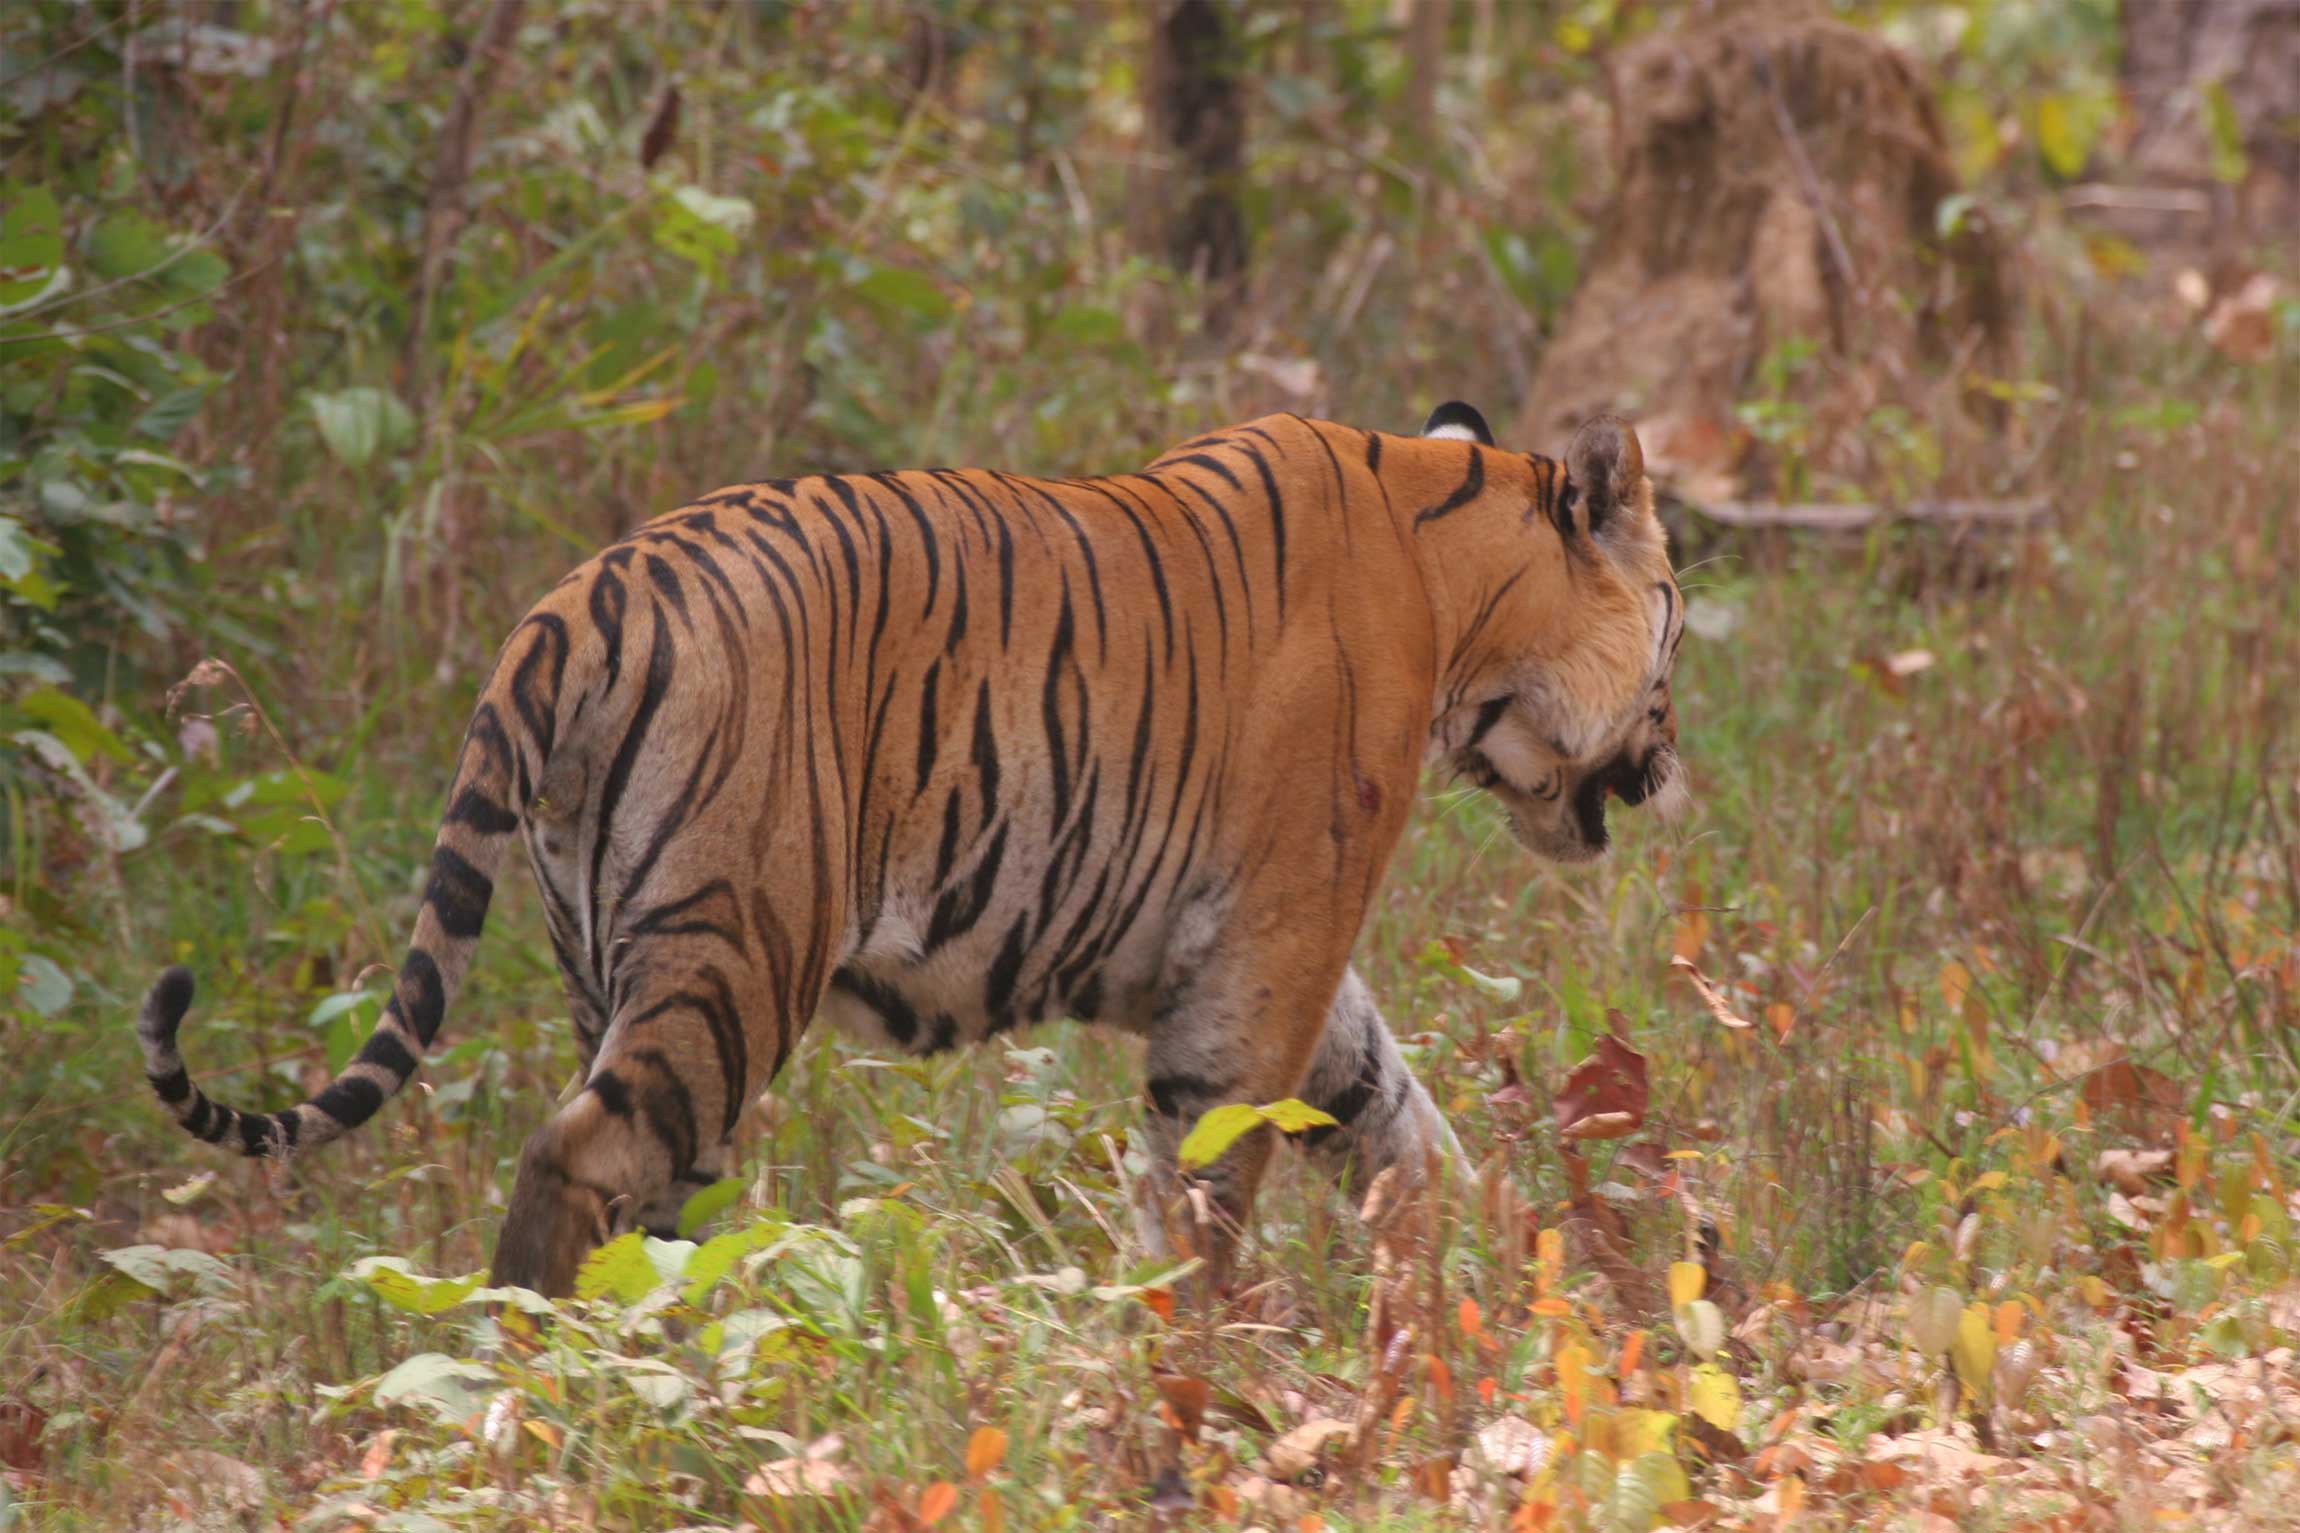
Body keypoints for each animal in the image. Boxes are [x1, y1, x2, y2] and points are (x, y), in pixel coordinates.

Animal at [139, 402, 1692, 1305]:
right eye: (1676, 616)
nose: (1677, 757)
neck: (1461, 590)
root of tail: (575, 604)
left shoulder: (1270, 960)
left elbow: (1394, 1118)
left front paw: (1515, 1283)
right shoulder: (1276, 937)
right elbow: (1213, 1173)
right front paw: (1185, 1363)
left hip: (625, 975)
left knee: (643, 1182)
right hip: (735, 958)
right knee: (574, 1155)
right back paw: (543, 1361)